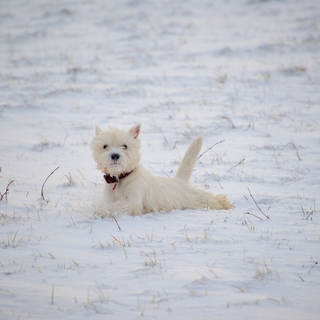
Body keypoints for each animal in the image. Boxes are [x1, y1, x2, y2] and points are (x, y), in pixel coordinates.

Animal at [91, 124, 234, 216]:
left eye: (125, 146)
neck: (119, 178)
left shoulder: (134, 201)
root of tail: (180, 180)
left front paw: (101, 210)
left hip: (198, 199)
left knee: (213, 199)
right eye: (105, 146)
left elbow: (117, 206)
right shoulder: (109, 197)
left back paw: (224, 203)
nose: (115, 155)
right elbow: (109, 204)